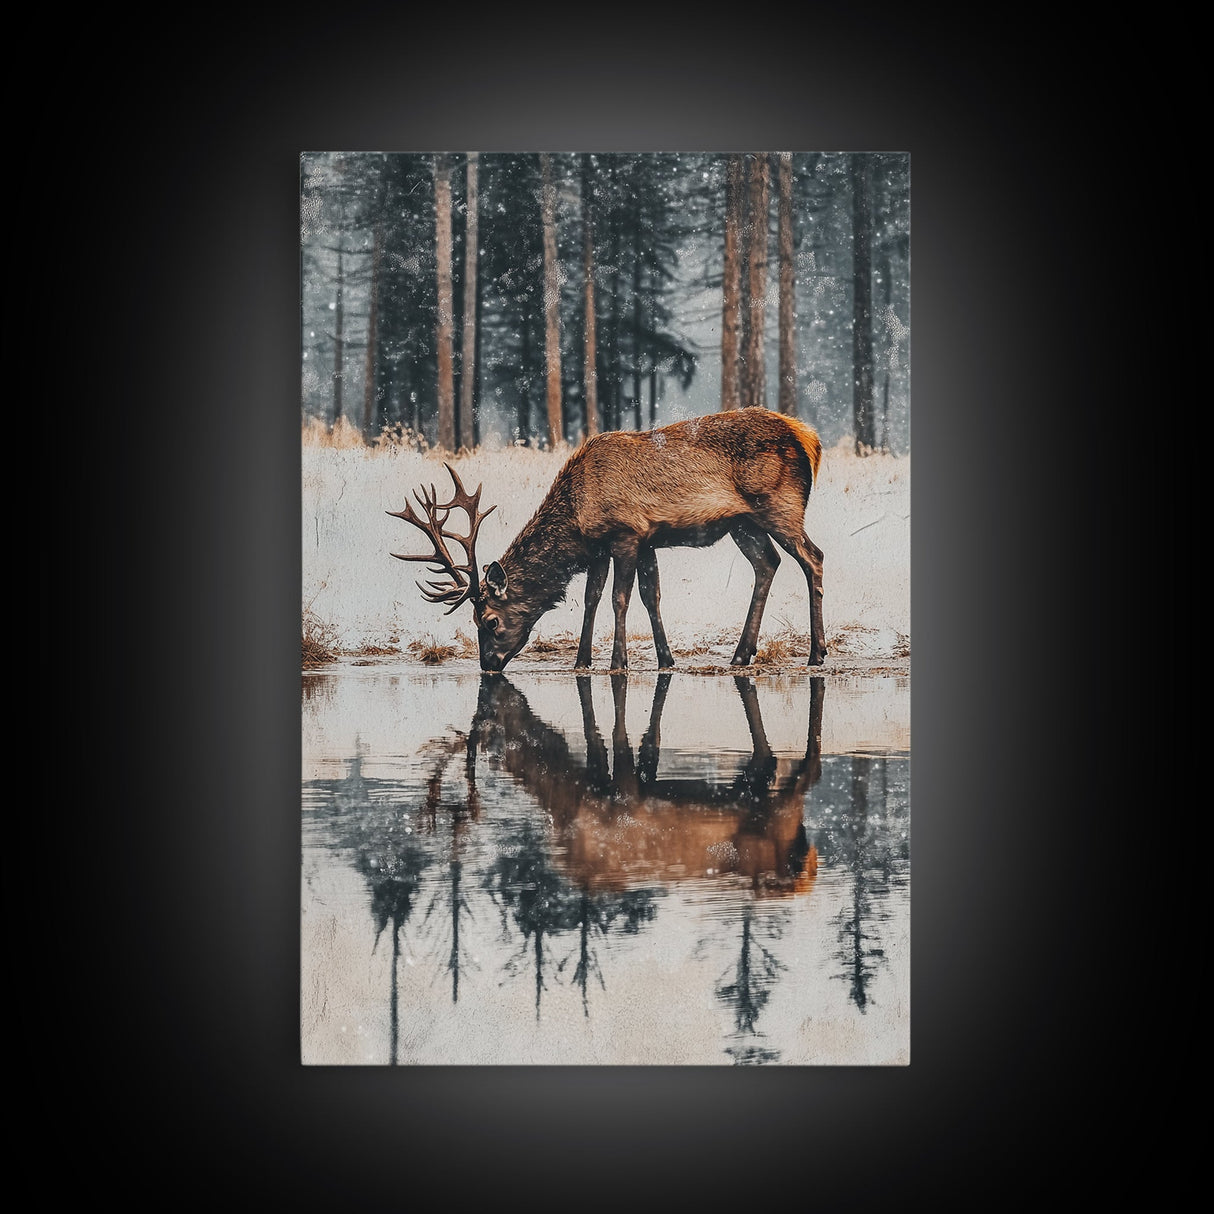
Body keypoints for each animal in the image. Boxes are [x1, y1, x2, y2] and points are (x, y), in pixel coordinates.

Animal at [388, 406, 826, 673]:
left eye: (489, 620)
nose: (487, 664)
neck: (578, 515)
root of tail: (810, 438)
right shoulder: (621, 544)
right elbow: (610, 597)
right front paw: (596, 660)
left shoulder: (627, 533)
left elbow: (621, 597)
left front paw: (619, 662)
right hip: (744, 523)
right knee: (767, 563)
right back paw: (740, 653)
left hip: (780, 505)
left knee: (813, 557)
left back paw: (816, 653)